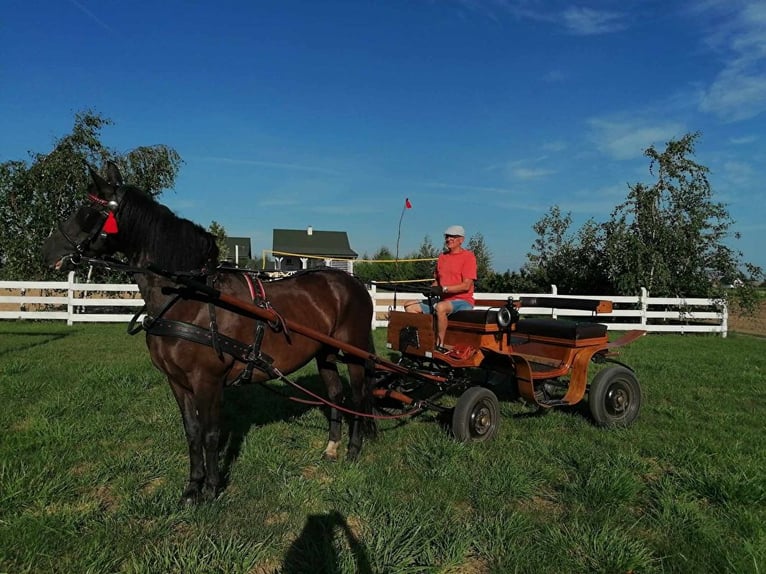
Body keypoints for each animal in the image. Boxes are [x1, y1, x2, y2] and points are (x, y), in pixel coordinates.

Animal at [42, 162, 378, 504]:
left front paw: (212, 488)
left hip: (353, 350)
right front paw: (193, 486)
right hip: (324, 352)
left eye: (86, 211)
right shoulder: (177, 382)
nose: (47, 251)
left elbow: (211, 433)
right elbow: (192, 432)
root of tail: (352, 282)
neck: (189, 297)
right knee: (335, 394)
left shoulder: (208, 380)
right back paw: (332, 448)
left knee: (358, 396)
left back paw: (353, 450)